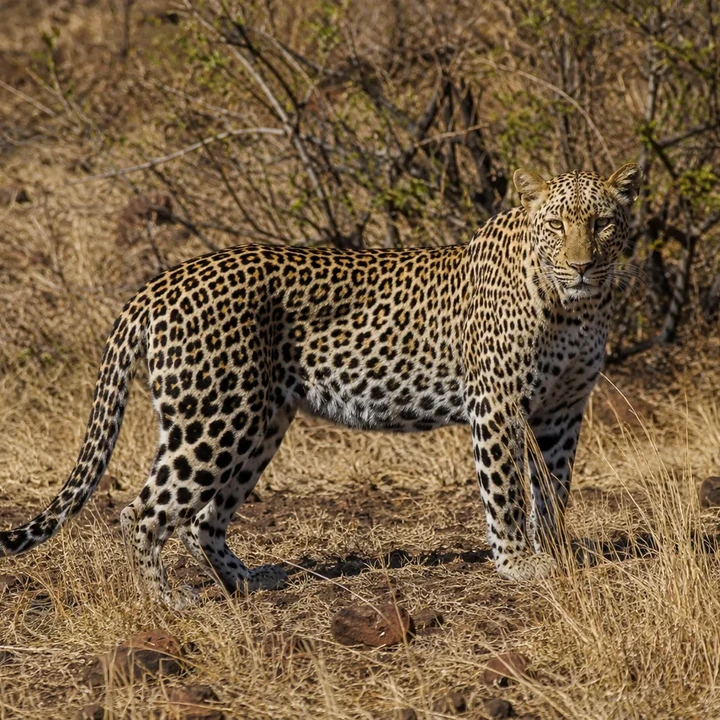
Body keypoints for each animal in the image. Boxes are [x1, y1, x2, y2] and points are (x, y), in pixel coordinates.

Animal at [0, 163, 642, 606]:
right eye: (557, 223)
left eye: (603, 223)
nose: (582, 265)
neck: (575, 307)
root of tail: (158, 283)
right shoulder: (498, 406)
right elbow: (507, 489)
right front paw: (517, 565)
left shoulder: (563, 410)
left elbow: (553, 489)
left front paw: (554, 552)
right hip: (214, 420)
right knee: (143, 511)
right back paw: (169, 600)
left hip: (259, 421)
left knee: (202, 519)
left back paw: (251, 581)